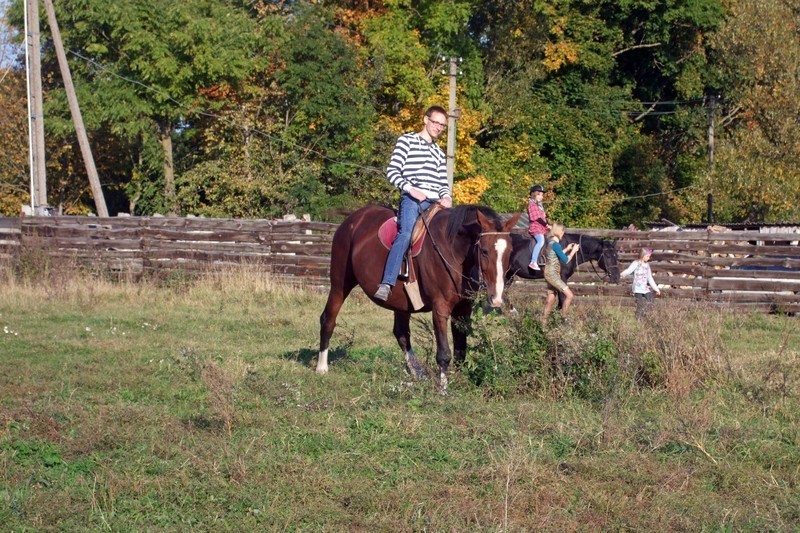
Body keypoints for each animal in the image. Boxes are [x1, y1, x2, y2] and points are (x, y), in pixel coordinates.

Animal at [316, 204, 520, 390]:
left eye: (510, 252)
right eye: (484, 251)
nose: (496, 298)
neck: (452, 249)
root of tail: (352, 220)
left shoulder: (462, 310)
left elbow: (461, 349)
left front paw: (459, 380)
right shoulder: (440, 309)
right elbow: (444, 353)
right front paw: (443, 389)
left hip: (400, 302)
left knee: (401, 334)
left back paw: (417, 373)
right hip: (340, 285)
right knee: (328, 319)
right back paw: (321, 367)